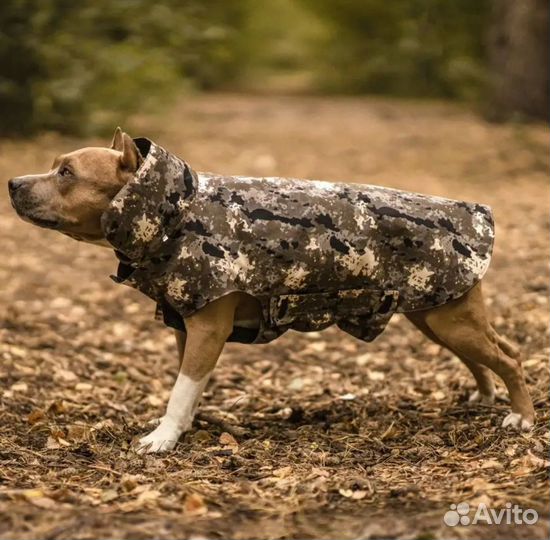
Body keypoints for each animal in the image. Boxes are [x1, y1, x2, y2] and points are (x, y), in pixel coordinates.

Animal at [7, 130, 536, 452]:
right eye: (54, 166)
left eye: (67, 174)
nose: (12, 182)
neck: (174, 211)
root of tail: (474, 211)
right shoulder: (185, 326)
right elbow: (187, 384)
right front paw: (187, 426)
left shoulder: (208, 327)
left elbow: (180, 389)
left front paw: (163, 438)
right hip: (435, 313)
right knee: (485, 356)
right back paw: (485, 397)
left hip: (451, 318)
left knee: (509, 357)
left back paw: (523, 418)